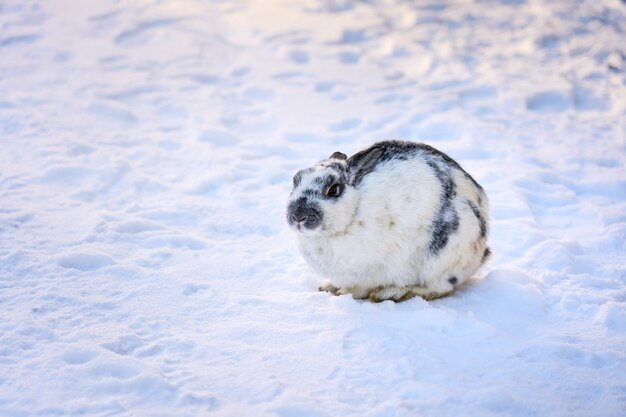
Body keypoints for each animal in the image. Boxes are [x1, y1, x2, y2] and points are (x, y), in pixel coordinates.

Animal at [286, 139, 488, 300]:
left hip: (441, 257)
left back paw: (391, 293)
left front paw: (343, 293)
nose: (298, 216)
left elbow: (358, 289)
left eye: (333, 189)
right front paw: (329, 287)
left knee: (440, 288)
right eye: (296, 180)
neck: (354, 212)